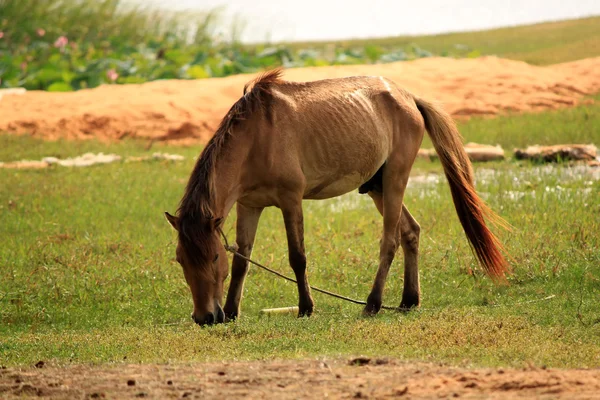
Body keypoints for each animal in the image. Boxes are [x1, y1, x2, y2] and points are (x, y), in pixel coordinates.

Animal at [166, 69, 508, 324]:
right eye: (180, 259)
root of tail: (409, 98)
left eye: (212, 257)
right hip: (377, 187)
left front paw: (306, 308)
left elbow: (297, 257)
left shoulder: (291, 201)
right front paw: (233, 312)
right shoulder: (248, 205)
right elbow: (241, 260)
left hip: (395, 180)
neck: (256, 137)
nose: (206, 318)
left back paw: (372, 304)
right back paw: (408, 301)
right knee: (411, 232)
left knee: (390, 241)